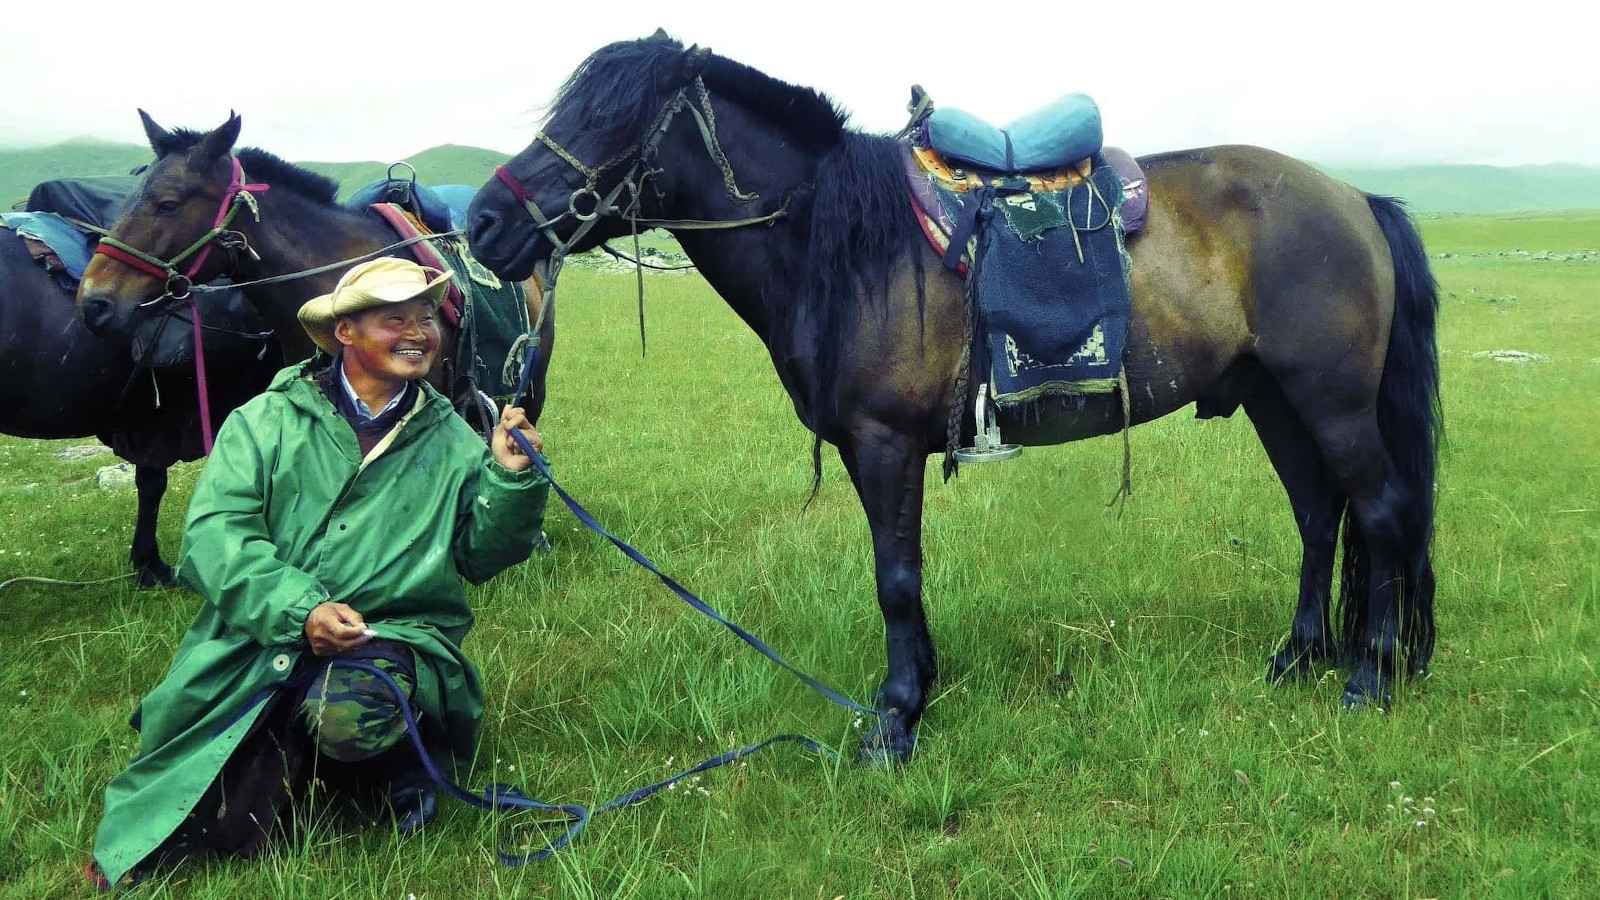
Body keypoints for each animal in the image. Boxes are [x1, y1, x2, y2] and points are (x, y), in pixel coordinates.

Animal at [460, 35, 1440, 759]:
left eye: (610, 121)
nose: (483, 223)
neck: (843, 241)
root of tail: (1354, 197)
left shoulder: (885, 443)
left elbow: (895, 577)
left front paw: (896, 718)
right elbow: (903, 574)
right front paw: (920, 686)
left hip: (1332, 403)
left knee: (1381, 514)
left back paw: (1368, 676)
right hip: (1277, 400)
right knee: (1318, 516)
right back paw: (1298, 657)